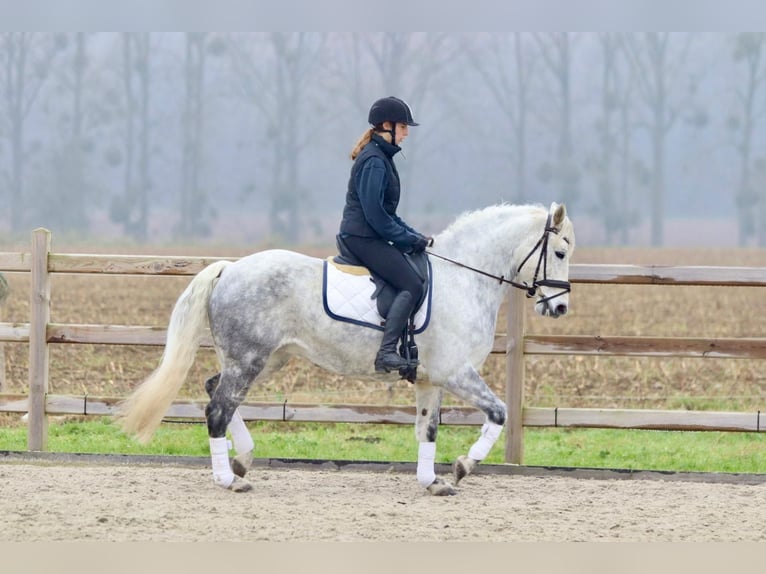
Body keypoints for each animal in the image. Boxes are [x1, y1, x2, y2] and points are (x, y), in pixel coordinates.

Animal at [120, 201, 576, 496]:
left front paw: (432, 481)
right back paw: (228, 478)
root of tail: (230, 269)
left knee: (217, 393)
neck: (463, 279)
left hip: (263, 359)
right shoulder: (456, 372)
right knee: (218, 408)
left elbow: (427, 429)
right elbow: (498, 413)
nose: (559, 308)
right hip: (249, 359)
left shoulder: (430, 380)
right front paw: (463, 467)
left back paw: (241, 460)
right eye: (559, 251)